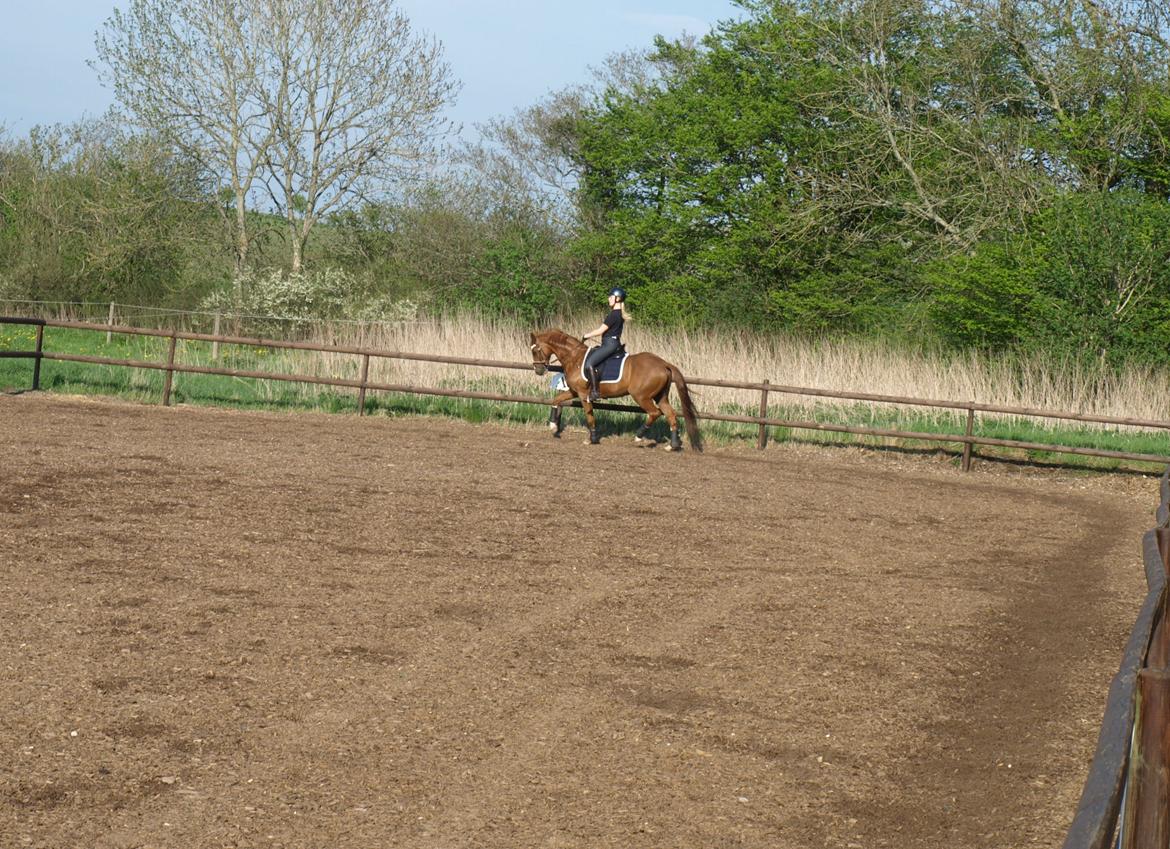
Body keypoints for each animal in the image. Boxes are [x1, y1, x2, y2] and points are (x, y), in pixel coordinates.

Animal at [529, 329, 702, 452]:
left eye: (535, 350)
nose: (538, 370)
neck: (574, 357)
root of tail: (664, 363)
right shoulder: (574, 391)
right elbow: (556, 400)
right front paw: (553, 426)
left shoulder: (583, 394)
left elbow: (589, 415)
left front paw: (591, 439)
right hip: (661, 396)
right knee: (670, 415)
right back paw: (672, 445)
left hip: (641, 396)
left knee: (654, 413)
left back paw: (638, 437)